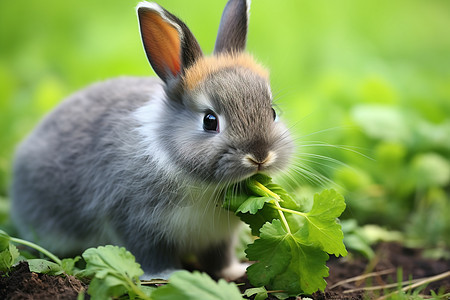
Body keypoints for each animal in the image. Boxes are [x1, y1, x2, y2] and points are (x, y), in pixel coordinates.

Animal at [9, 0, 296, 282]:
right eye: (210, 121)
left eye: (272, 112)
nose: (260, 156)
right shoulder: (137, 222)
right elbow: (151, 254)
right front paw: (167, 275)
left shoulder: (219, 237)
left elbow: (219, 257)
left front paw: (233, 271)